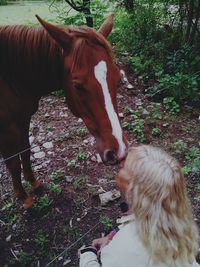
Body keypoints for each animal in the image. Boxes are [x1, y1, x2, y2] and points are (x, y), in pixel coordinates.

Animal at [0, 14, 127, 209]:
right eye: (78, 86)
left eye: (118, 79)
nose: (118, 150)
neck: (10, 77)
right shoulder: (7, 129)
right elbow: (13, 164)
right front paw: (24, 198)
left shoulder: (23, 119)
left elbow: (26, 151)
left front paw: (34, 183)